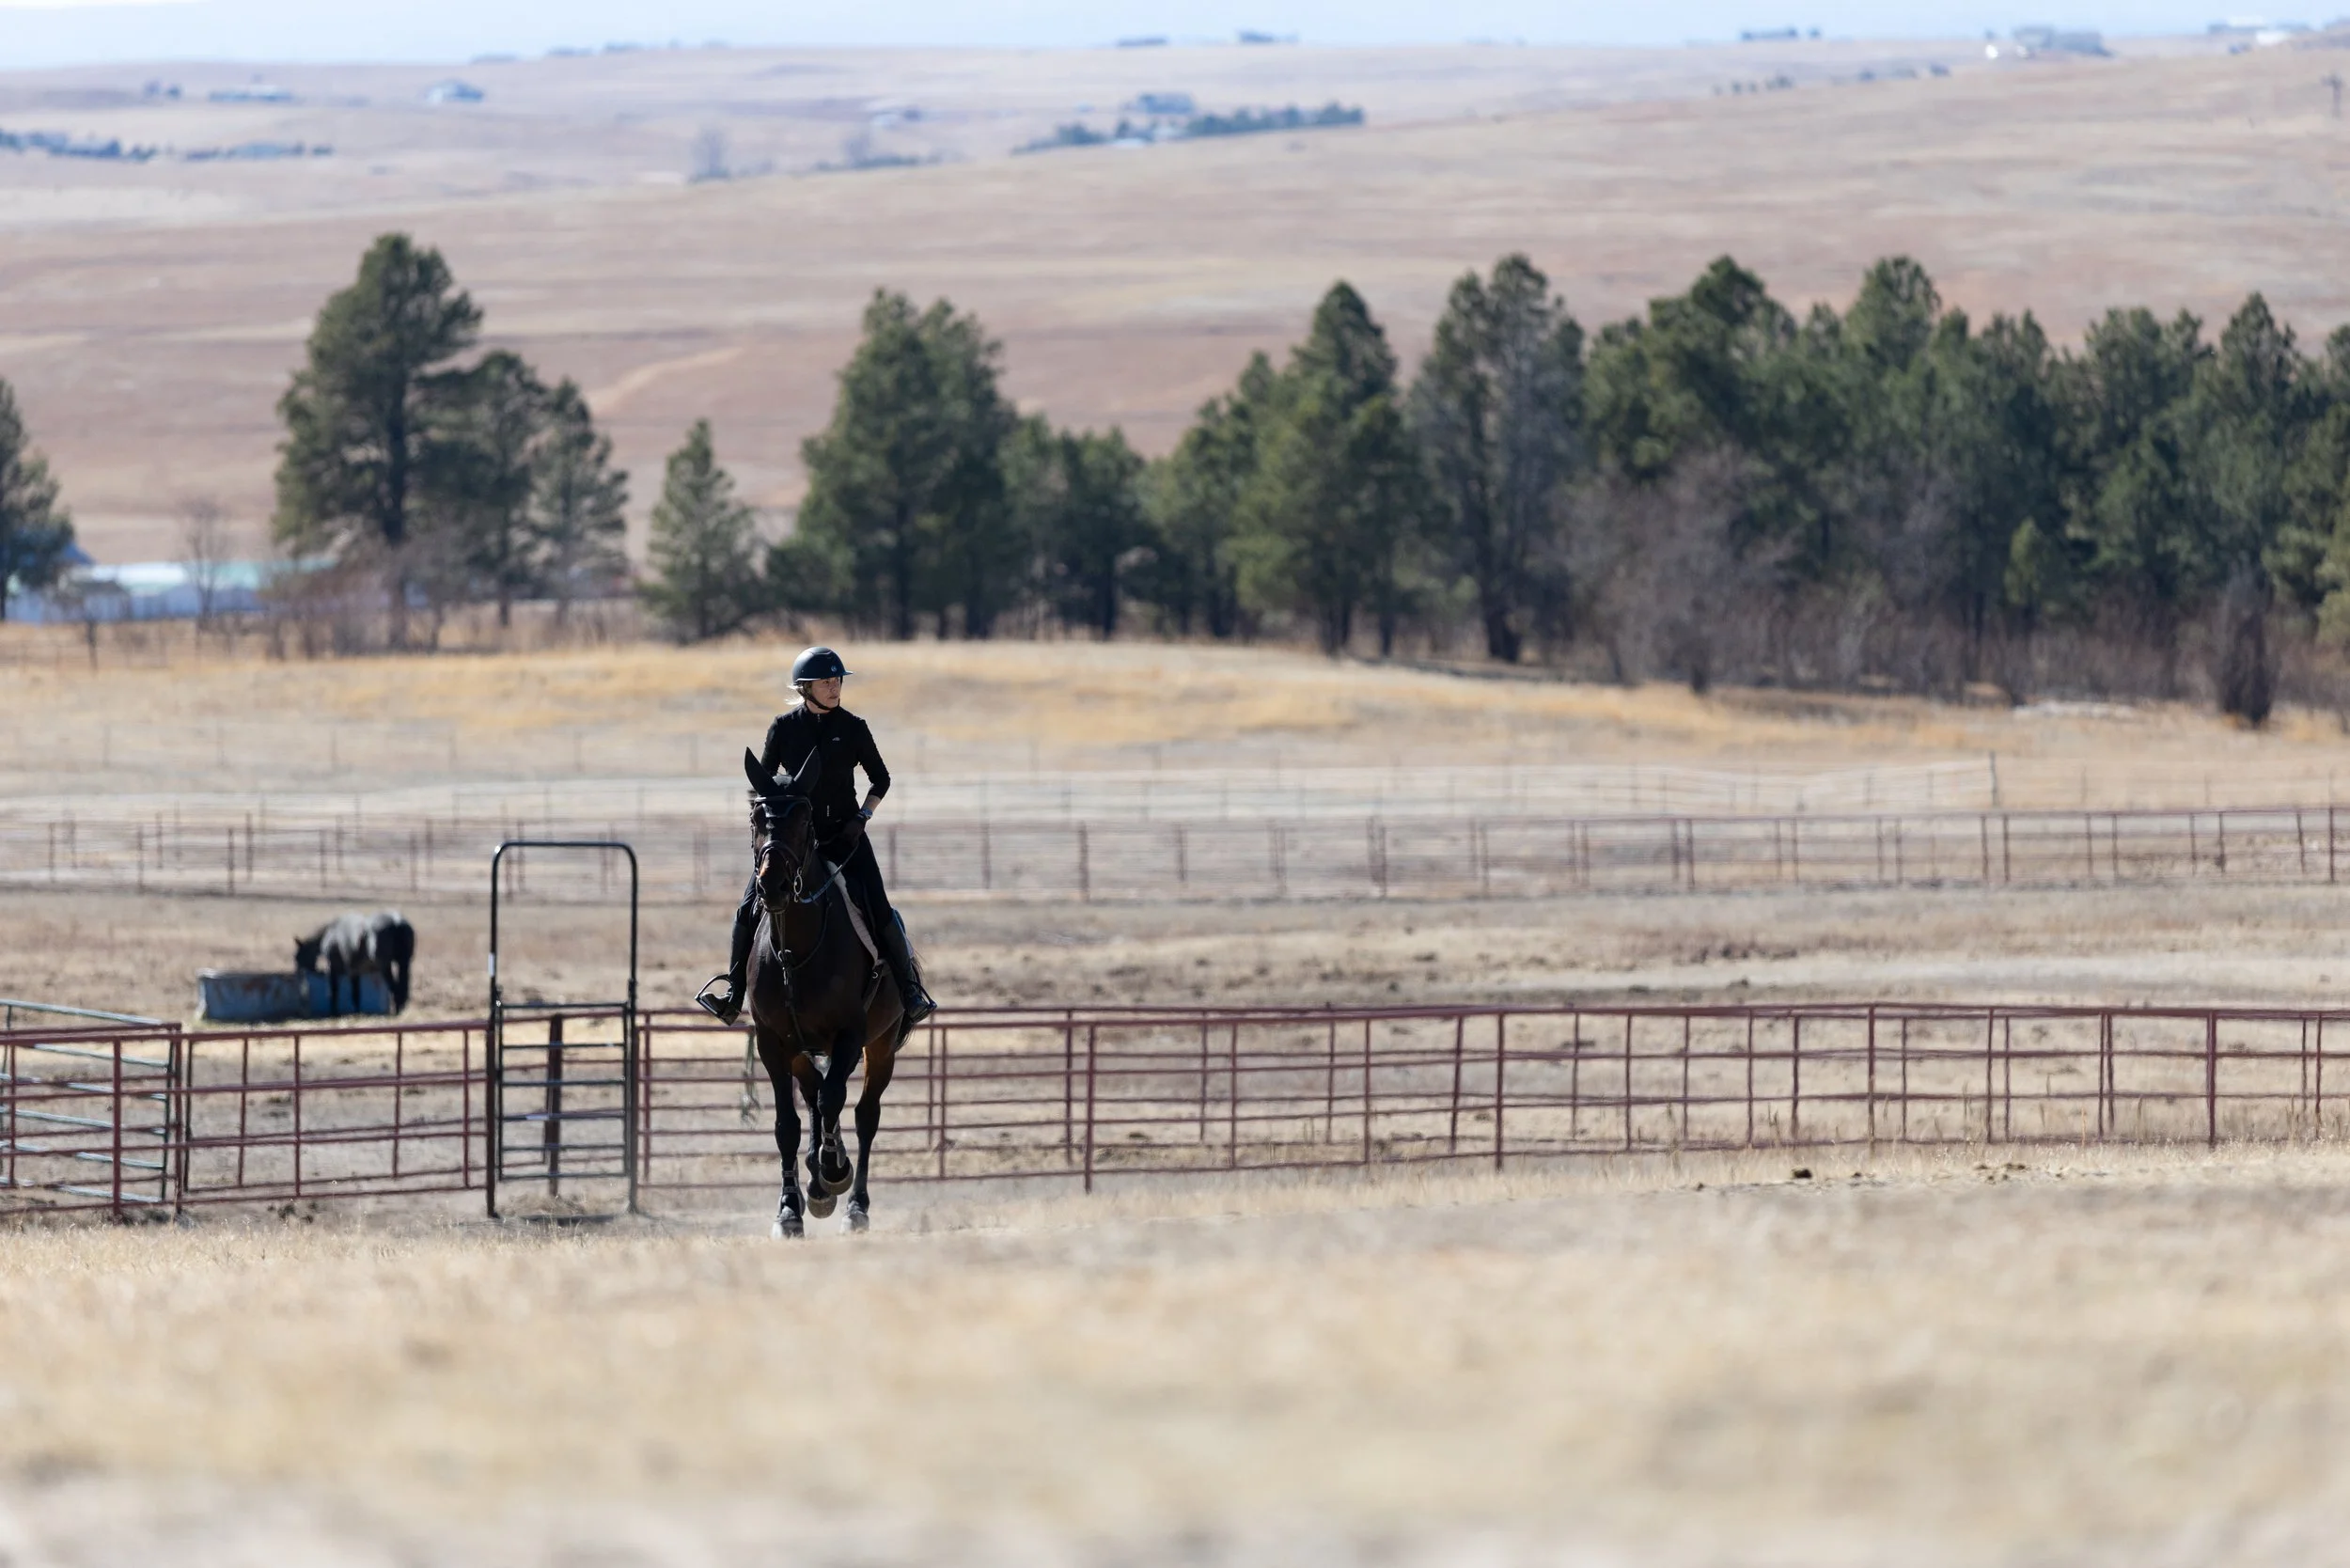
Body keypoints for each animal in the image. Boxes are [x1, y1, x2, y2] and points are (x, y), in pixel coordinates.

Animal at [294, 911, 415, 1015]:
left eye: (297, 958)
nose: (299, 974)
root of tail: (397, 922)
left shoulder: (339, 970)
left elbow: (336, 991)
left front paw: (336, 1012)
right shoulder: (356, 972)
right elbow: (356, 993)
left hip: (385, 967)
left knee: (395, 988)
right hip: (404, 964)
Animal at [741, 746, 907, 1238]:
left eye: (803, 818)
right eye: (756, 818)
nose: (772, 884)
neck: (797, 951)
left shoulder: (851, 1035)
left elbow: (836, 1101)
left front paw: (834, 1170)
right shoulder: (773, 1042)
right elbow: (787, 1124)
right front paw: (789, 1209)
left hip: (882, 1045)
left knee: (864, 1114)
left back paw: (853, 1204)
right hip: (801, 1048)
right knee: (814, 1093)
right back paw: (815, 1187)